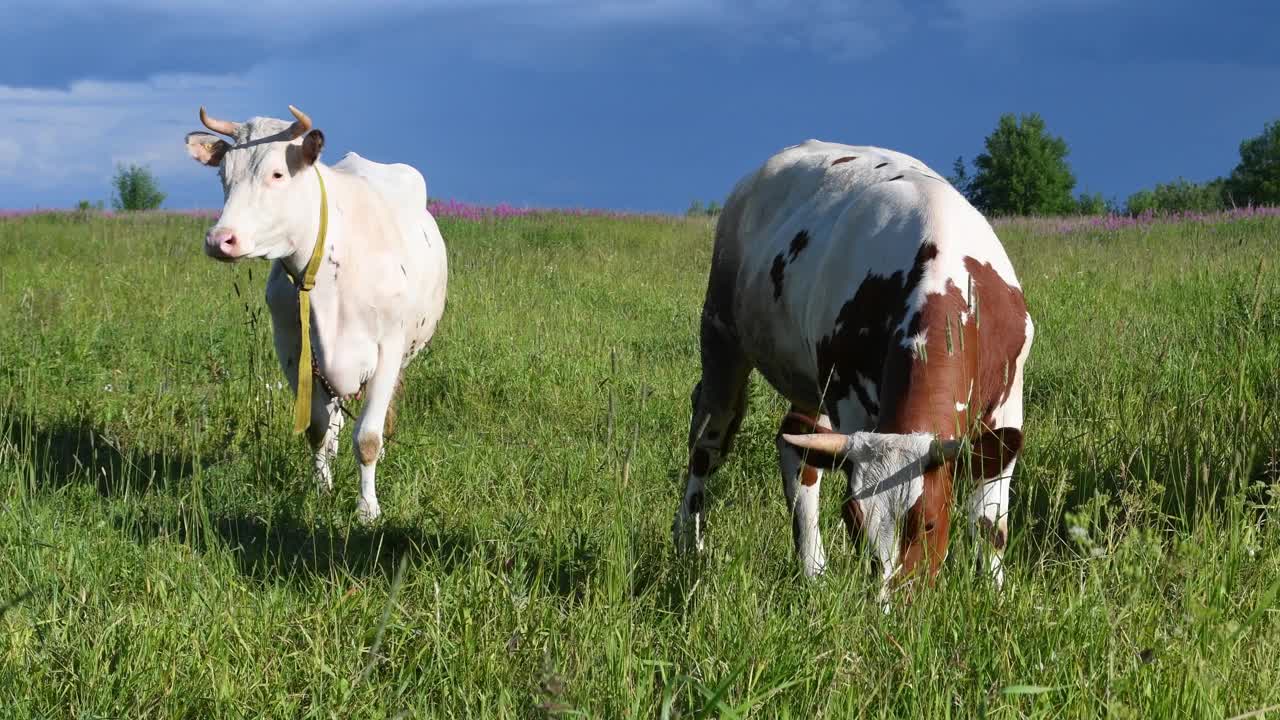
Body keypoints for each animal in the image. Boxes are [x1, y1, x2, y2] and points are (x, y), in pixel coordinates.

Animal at [675, 140, 1034, 599]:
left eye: (929, 522)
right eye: (853, 520)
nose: (890, 604)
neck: (944, 280)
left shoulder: (1008, 404)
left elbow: (990, 521)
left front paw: (994, 593)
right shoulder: (849, 402)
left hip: (809, 381)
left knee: (796, 444)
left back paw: (812, 568)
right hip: (722, 334)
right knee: (708, 439)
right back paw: (690, 544)